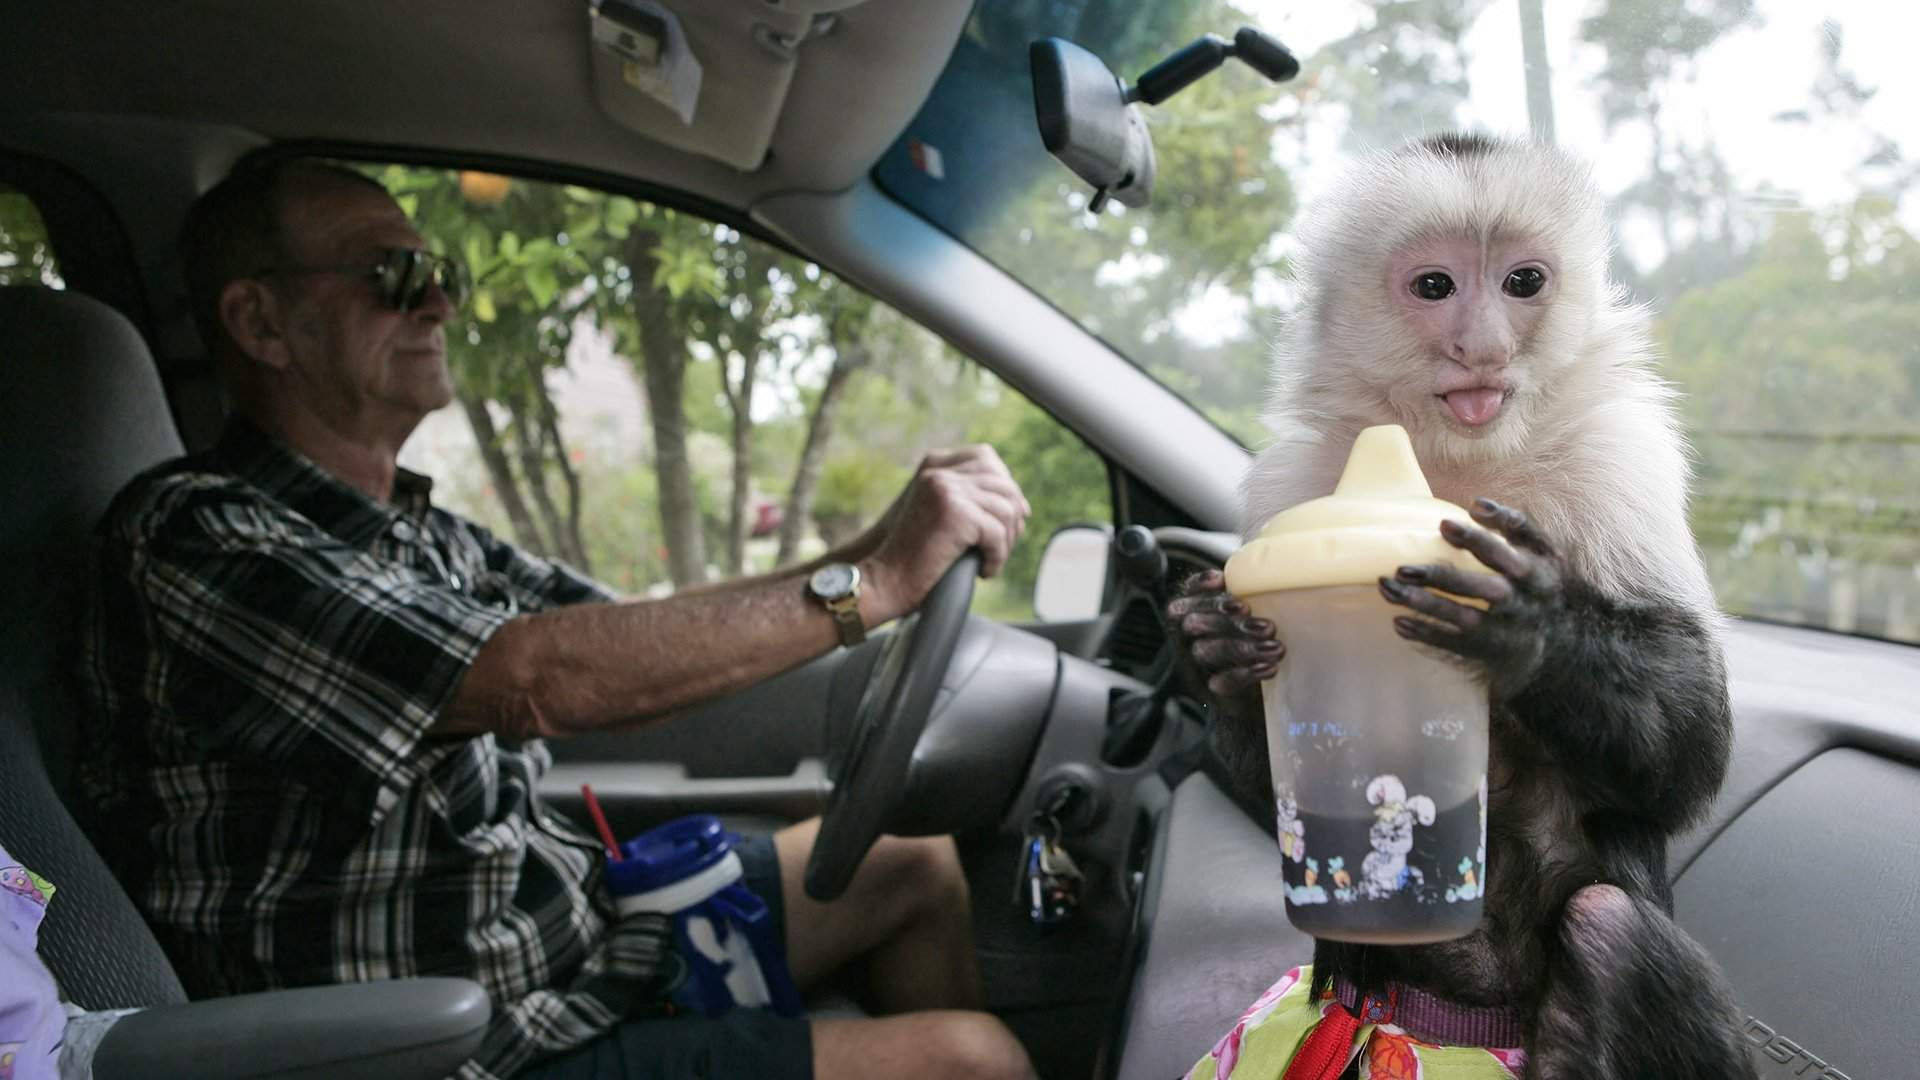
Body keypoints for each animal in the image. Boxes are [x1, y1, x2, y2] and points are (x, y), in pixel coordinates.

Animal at [1167, 134, 1758, 1076]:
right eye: (1436, 285)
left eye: (1524, 281)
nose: (1483, 347)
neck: (1448, 462)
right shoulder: (1289, 485)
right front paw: (1215, 647)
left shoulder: (1620, 455)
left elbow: (1689, 762)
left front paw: (1531, 629)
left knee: (1611, 927)